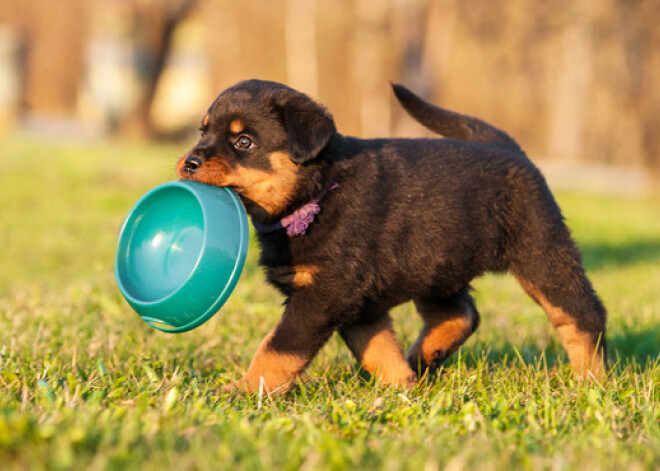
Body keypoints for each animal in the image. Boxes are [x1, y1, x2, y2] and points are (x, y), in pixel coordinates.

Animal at [177, 79, 608, 392]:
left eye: (243, 142)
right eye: (202, 131)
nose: (190, 162)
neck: (317, 192)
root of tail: (510, 148)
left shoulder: (326, 292)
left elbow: (278, 347)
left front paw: (244, 390)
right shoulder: (357, 301)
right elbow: (378, 348)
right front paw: (400, 387)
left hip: (541, 252)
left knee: (582, 315)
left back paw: (591, 380)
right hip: (439, 264)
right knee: (460, 314)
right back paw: (423, 357)